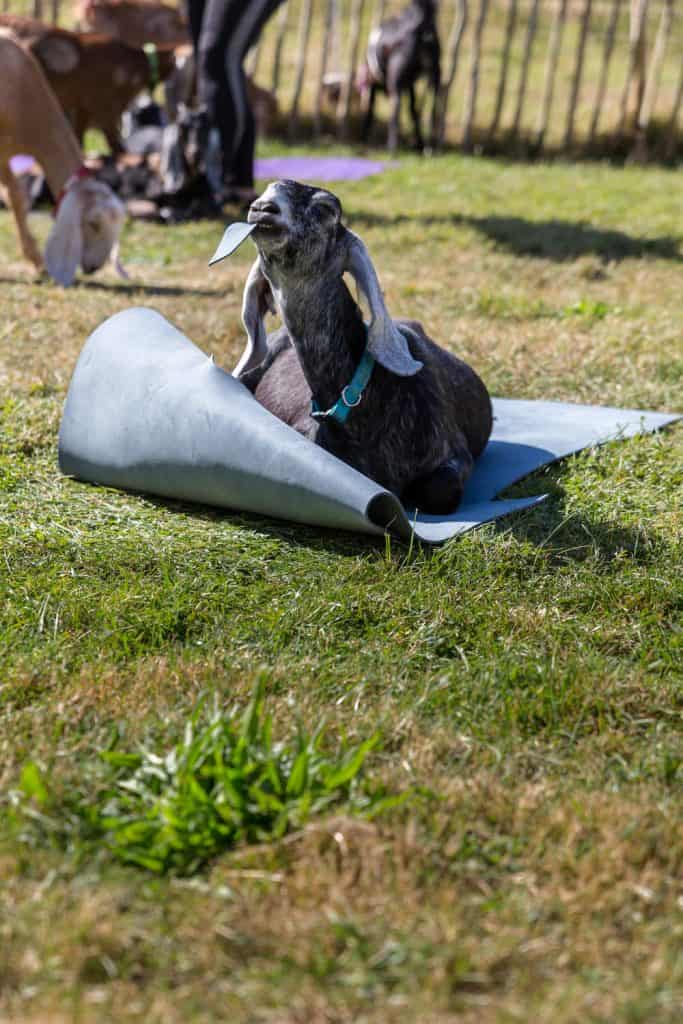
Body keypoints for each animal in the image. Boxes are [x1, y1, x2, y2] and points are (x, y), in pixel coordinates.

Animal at [0, 29, 126, 286]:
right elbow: (15, 196)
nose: (94, 268)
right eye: (93, 223)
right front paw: (37, 260)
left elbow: (16, 196)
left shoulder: (5, 152)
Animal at [361, 0, 441, 152]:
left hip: (395, 78)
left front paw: (365, 136)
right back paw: (429, 147)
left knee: (395, 106)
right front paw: (419, 143)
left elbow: (369, 111)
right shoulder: (410, 85)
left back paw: (391, 147)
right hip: (435, 74)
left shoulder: (374, 86)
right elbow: (413, 109)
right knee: (433, 108)